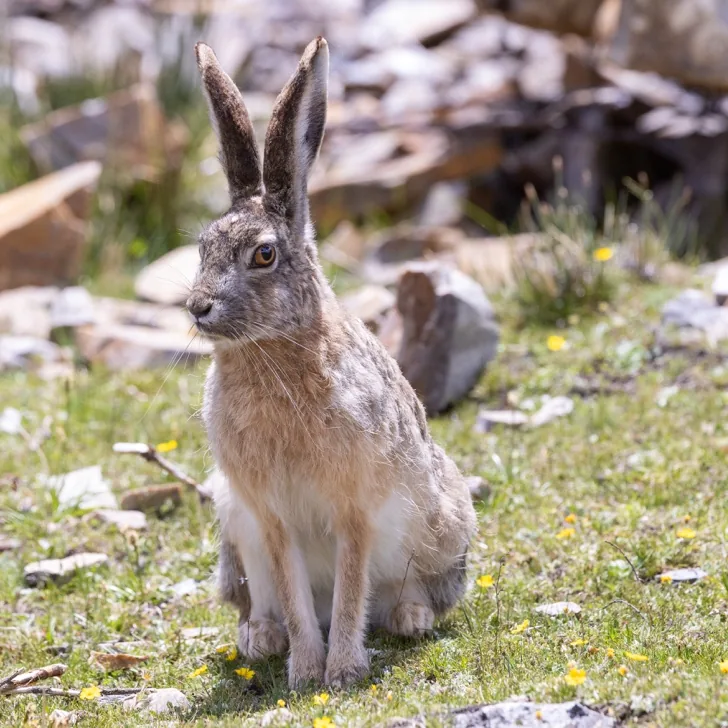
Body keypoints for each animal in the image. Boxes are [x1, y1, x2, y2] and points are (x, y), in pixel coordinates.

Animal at [187, 36, 477, 689]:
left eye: (264, 254)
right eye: (203, 248)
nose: (197, 307)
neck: (273, 352)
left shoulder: (355, 510)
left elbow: (350, 589)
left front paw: (341, 673)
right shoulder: (270, 519)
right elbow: (295, 594)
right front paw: (303, 671)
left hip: (441, 520)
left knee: (402, 590)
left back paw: (411, 618)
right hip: (232, 526)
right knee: (267, 600)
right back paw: (260, 639)